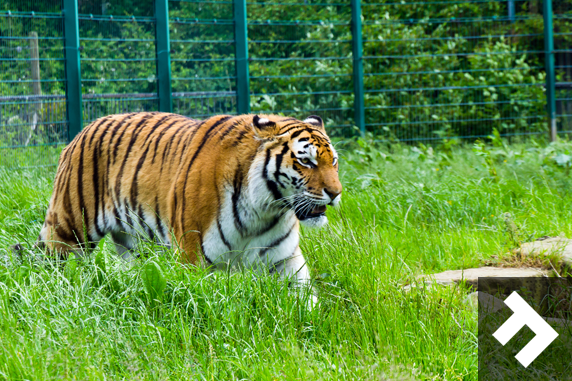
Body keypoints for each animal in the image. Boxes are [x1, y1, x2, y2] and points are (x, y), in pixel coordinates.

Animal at [36, 111, 340, 302]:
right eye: (306, 161)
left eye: (333, 161)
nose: (336, 193)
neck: (264, 209)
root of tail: (83, 129)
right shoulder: (193, 256)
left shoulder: (284, 261)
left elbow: (306, 299)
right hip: (68, 231)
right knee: (50, 267)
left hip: (136, 247)